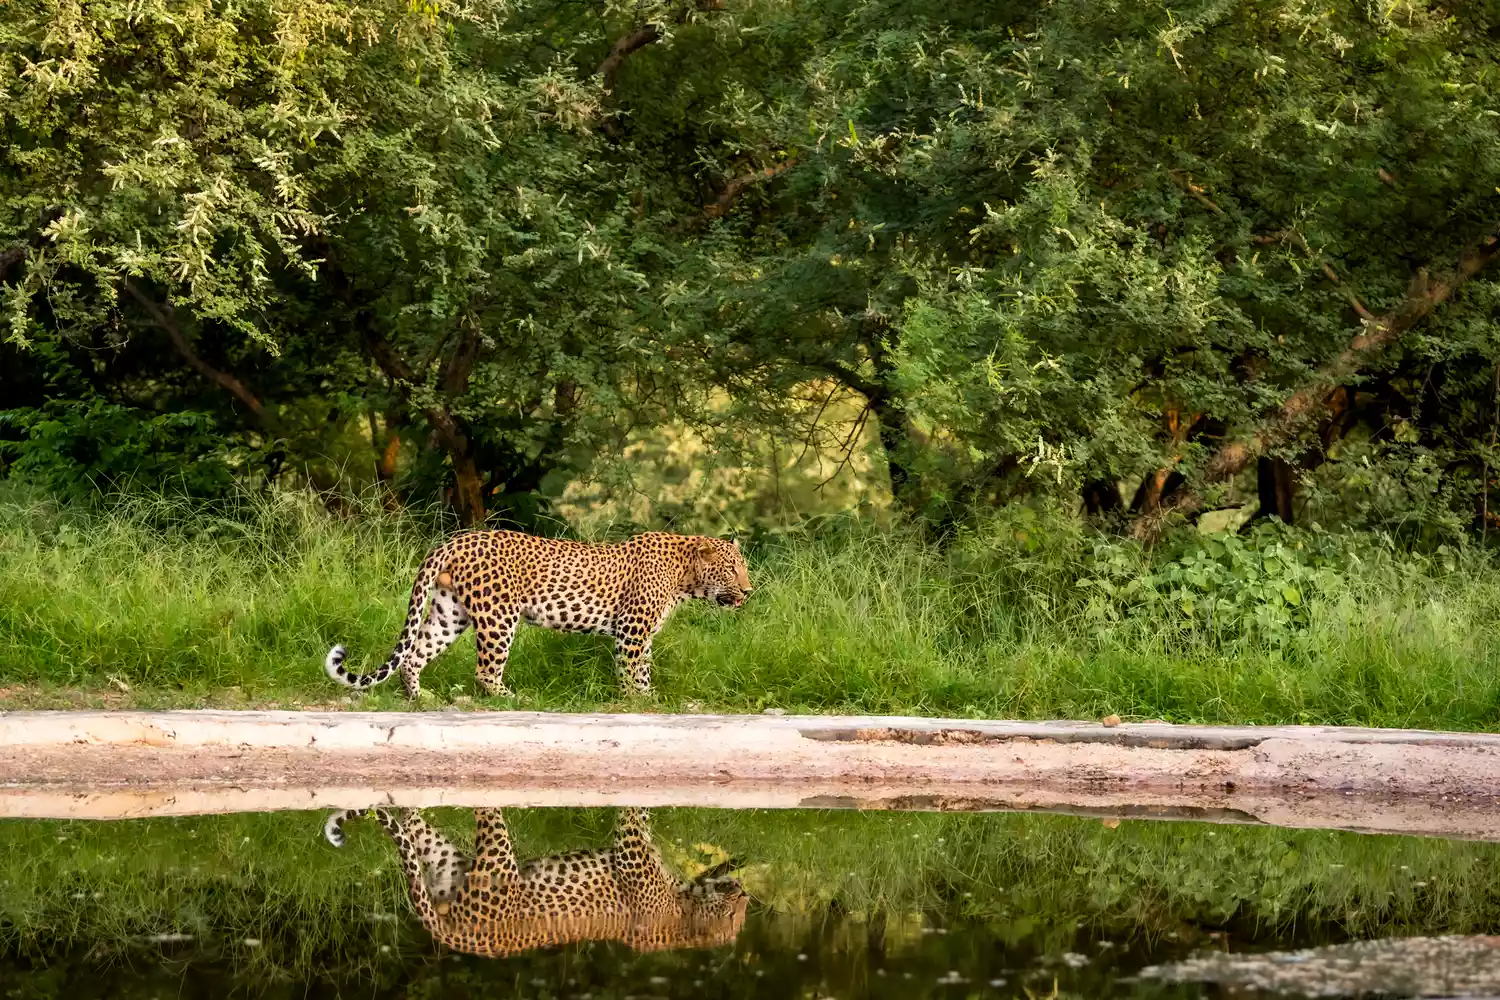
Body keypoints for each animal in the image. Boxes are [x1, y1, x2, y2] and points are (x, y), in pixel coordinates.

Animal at [323, 530, 752, 699]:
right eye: (732, 570)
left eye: (743, 568)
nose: (749, 591)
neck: (686, 577)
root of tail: (455, 540)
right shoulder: (632, 630)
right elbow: (633, 670)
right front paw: (639, 700)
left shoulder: (641, 634)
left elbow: (642, 667)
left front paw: (646, 697)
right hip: (498, 615)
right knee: (485, 670)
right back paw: (508, 696)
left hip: (450, 611)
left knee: (415, 653)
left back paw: (419, 696)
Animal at [323, 806, 749, 957]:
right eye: (733, 916)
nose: (745, 892)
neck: (682, 916)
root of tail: (461, 940)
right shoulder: (630, 851)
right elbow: (634, 819)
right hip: (498, 857)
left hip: (448, 863)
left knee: (416, 829)